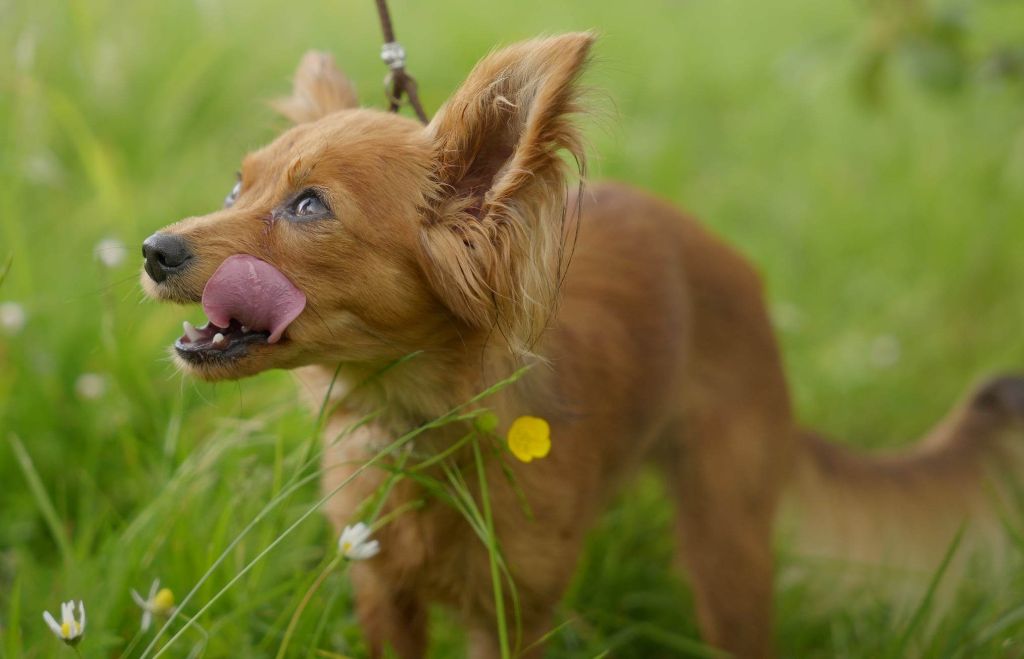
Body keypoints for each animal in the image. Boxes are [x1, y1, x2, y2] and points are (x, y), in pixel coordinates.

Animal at [142, 32, 1024, 659]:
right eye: (237, 187)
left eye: (309, 205)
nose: (153, 249)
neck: (423, 426)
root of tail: (739, 273)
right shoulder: (381, 593)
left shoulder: (510, 613)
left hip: (726, 550)